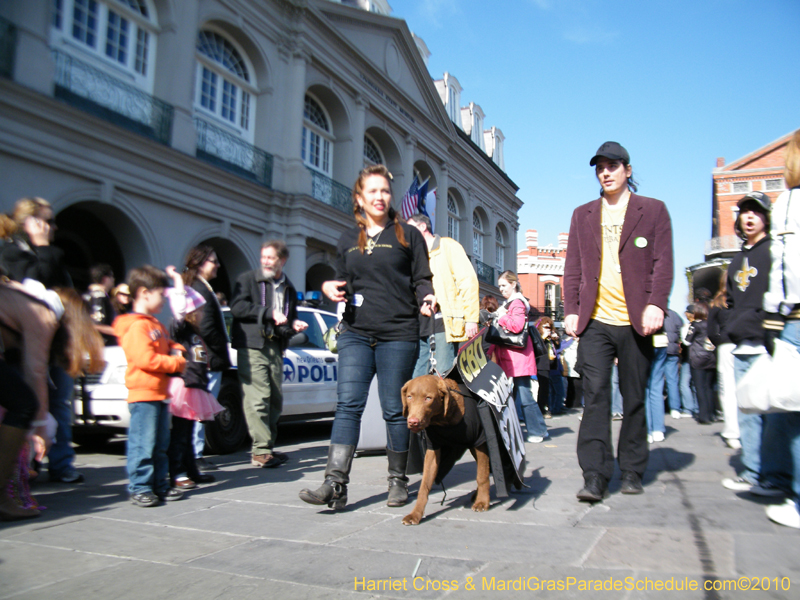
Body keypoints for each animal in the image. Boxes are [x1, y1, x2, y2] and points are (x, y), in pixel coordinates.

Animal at [404, 376, 490, 524]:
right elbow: (424, 485)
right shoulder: (433, 449)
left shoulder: (480, 442)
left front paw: (482, 502)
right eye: (409, 397)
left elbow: (482, 475)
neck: (444, 420)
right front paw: (415, 514)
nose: (413, 422)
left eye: (428, 398)